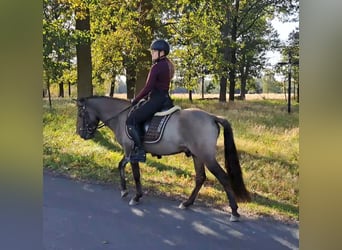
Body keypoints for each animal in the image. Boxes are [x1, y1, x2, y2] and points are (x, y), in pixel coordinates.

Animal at [75, 95, 251, 221]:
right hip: (197, 155)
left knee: (223, 177)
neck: (121, 117)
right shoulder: (129, 152)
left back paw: (234, 212)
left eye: (81, 114)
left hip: (206, 156)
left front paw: (136, 197)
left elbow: (135, 174)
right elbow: (121, 166)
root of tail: (212, 117)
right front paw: (124, 191)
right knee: (200, 178)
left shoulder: (130, 149)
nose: (82, 134)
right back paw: (187, 203)